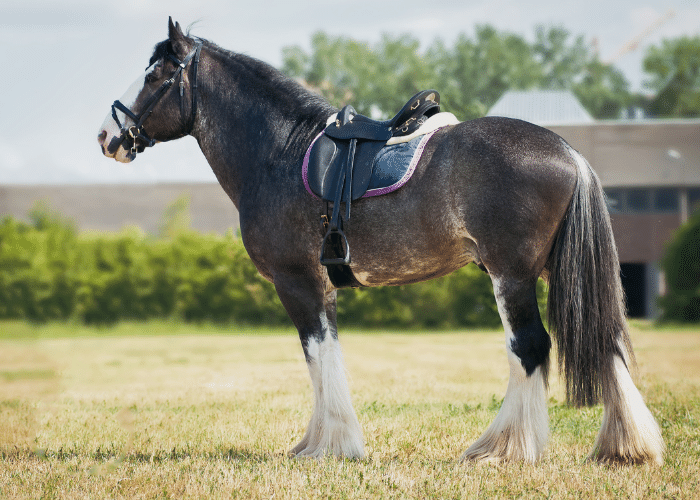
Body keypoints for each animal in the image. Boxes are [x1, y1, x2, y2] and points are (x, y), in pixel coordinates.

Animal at [97, 18, 660, 464]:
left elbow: (318, 355)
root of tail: (569, 153)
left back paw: (503, 448)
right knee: (605, 338)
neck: (280, 152)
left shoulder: (296, 281)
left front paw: (331, 446)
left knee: (530, 347)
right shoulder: (319, 285)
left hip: (513, 276)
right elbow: (324, 357)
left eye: (155, 75)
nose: (107, 135)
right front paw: (319, 443)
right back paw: (625, 447)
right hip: (557, 271)